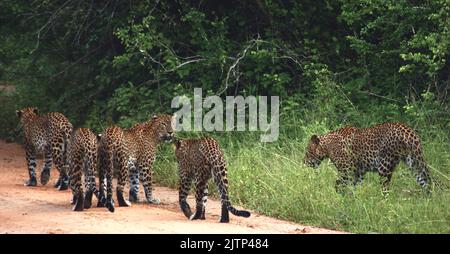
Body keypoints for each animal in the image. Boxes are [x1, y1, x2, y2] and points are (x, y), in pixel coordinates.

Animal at [302, 121, 432, 192]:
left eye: (307, 152)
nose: (303, 162)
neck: (327, 146)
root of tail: (409, 132)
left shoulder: (346, 170)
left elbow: (338, 185)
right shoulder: (359, 172)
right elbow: (354, 187)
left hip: (384, 166)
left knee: (385, 189)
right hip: (414, 162)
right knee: (427, 182)